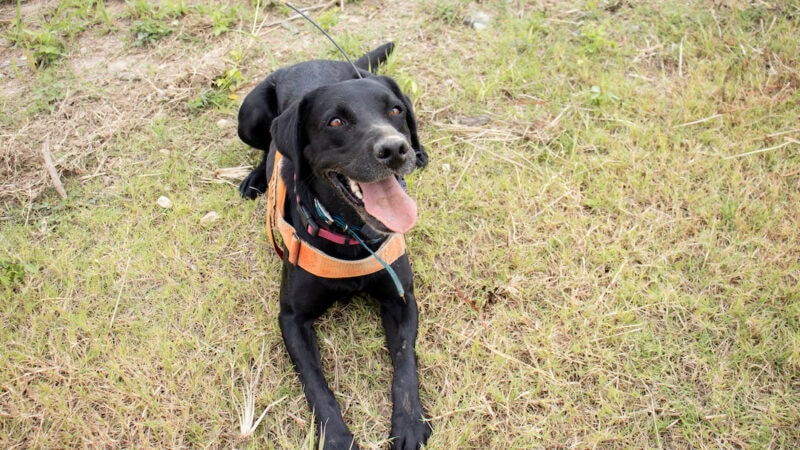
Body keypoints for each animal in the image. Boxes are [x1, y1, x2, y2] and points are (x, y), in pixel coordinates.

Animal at [238, 43, 432, 450]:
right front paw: (338, 439)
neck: (351, 236)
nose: (395, 149)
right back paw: (255, 178)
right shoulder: (292, 318)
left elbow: (405, 366)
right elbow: (317, 385)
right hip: (248, 114)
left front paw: (409, 422)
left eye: (395, 111)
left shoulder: (401, 299)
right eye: (335, 122)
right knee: (265, 145)